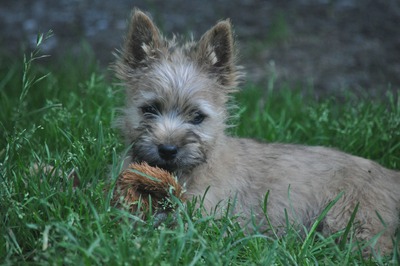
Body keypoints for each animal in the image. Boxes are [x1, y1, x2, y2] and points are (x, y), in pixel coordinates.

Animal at [114, 9, 398, 255]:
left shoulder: (206, 217)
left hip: (354, 224)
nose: (168, 149)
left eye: (197, 117)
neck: (184, 174)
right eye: (150, 109)